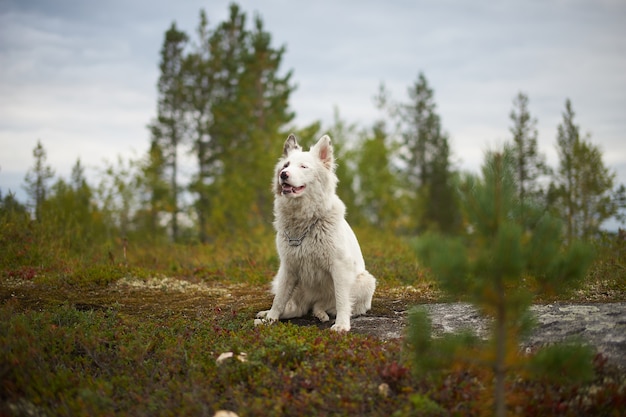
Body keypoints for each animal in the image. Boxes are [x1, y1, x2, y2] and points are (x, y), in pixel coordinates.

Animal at [255, 135, 376, 330]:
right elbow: (279, 299)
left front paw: (342, 325)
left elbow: (342, 300)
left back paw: (321, 314)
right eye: (286, 165)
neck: (305, 221)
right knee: (296, 308)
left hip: (366, 281)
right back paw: (267, 316)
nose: (283, 174)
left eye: (303, 167)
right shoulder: (288, 268)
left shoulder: (339, 267)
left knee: (325, 306)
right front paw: (270, 319)